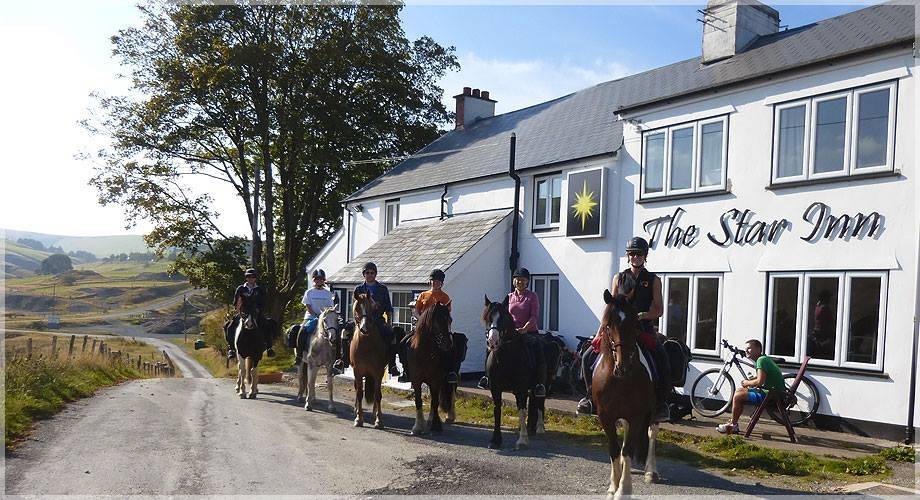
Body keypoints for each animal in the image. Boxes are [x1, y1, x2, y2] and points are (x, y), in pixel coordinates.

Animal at [406, 300, 456, 434]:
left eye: (450, 320)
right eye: (439, 320)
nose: (449, 343)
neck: (424, 352)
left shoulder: (435, 380)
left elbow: (435, 402)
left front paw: (436, 425)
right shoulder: (416, 380)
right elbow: (419, 401)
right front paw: (418, 426)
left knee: (450, 393)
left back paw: (449, 416)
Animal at [482, 294, 548, 452]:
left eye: (504, 318)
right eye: (487, 317)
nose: (492, 341)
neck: (506, 356)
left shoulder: (521, 389)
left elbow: (522, 411)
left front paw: (522, 440)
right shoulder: (495, 388)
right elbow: (497, 410)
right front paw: (495, 440)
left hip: (542, 384)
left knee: (540, 402)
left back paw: (539, 428)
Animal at [592, 288, 656, 498]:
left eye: (635, 323)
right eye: (608, 324)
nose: (624, 366)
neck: (619, 379)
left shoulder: (637, 415)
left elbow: (628, 449)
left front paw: (624, 489)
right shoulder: (606, 416)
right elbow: (614, 449)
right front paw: (613, 486)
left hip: (653, 412)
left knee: (652, 434)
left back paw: (651, 472)